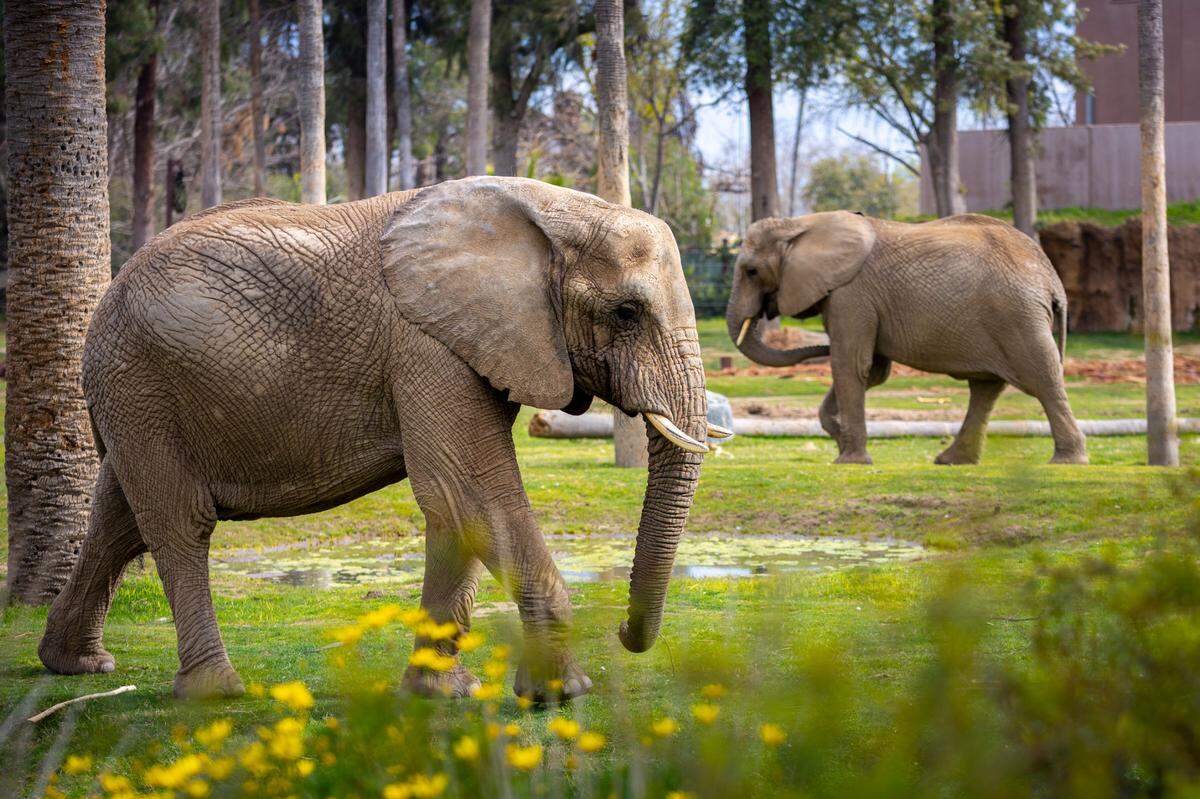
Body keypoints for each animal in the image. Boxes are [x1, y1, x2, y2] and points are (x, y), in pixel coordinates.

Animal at [39, 176, 729, 702]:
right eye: (626, 313)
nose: (625, 634)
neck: (550, 208)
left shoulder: (470, 343)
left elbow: (455, 509)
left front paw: (442, 694)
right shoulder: (426, 342)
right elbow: (467, 488)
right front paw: (562, 696)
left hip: (134, 394)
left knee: (120, 518)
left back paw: (75, 665)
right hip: (140, 379)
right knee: (178, 522)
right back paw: (216, 692)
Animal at [726, 212, 1088, 466]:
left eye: (751, 271)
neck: (801, 224)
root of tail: (1051, 278)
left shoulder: (851, 296)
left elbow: (850, 365)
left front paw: (849, 460)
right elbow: (872, 371)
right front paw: (841, 442)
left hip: (1017, 316)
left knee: (1042, 379)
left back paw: (1067, 461)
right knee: (985, 388)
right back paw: (951, 461)